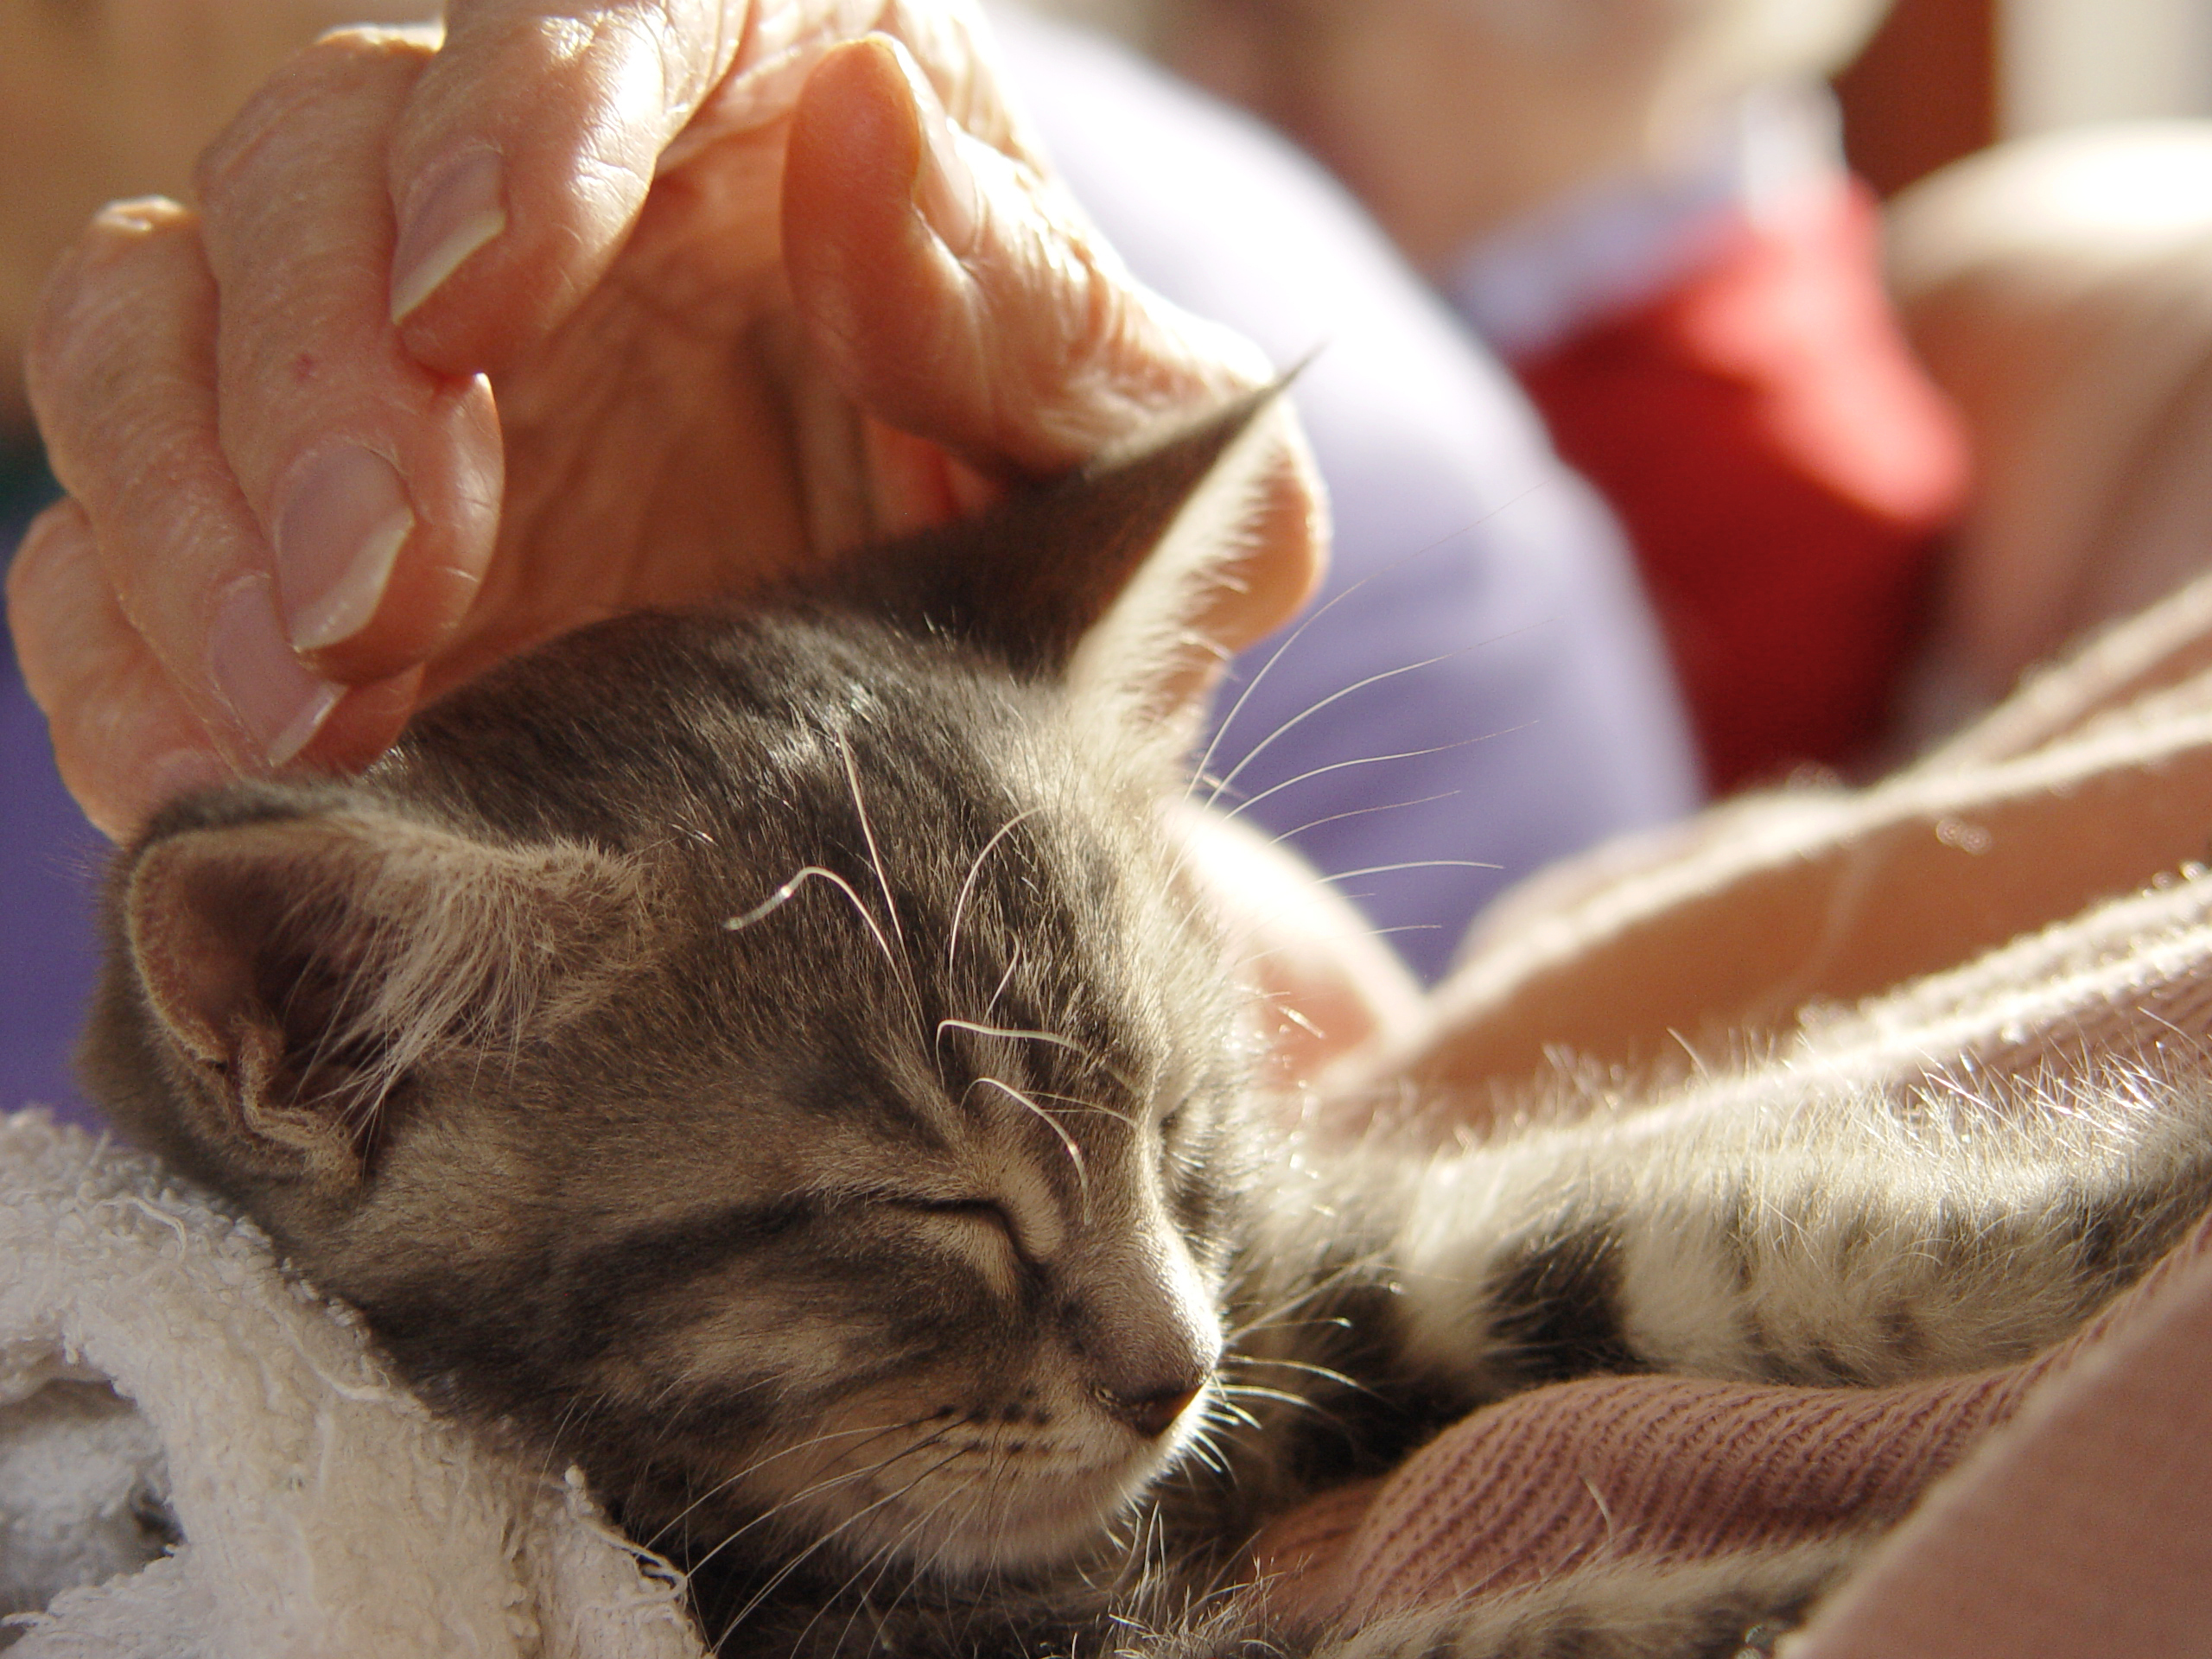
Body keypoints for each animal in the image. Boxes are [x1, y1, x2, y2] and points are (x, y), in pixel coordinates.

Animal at [78, 393, 2212, 1659]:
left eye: (1180, 1126)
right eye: (923, 1209)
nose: (1173, 1380)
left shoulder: (1311, 1261)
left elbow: (1695, 1245)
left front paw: (2126, 1222)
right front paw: (1800, 1580)